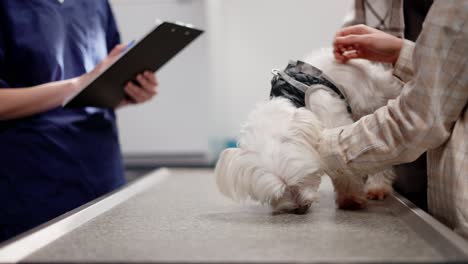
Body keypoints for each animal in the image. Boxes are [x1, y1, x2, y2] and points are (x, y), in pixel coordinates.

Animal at [216, 49, 402, 214]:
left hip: (372, 99)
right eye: (279, 193)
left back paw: (377, 186)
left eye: (301, 180)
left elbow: (342, 167)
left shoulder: (335, 127)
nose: (299, 209)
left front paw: (350, 199)